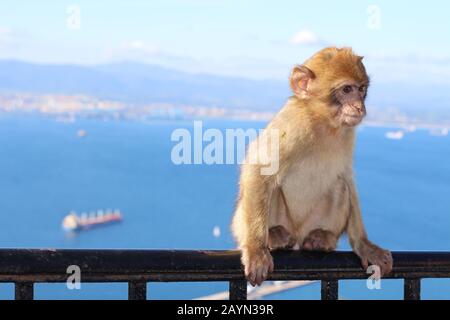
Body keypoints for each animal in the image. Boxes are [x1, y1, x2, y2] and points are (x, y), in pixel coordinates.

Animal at [232, 47, 394, 284]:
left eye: (362, 89)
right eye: (347, 89)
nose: (359, 107)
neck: (324, 123)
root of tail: (298, 235)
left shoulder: (348, 133)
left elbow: (347, 178)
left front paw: (365, 246)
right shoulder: (293, 124)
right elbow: (259, 169)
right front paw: (255, 249)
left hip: (311, 224)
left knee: (340, 185)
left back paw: (322, 238)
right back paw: (274, 235)